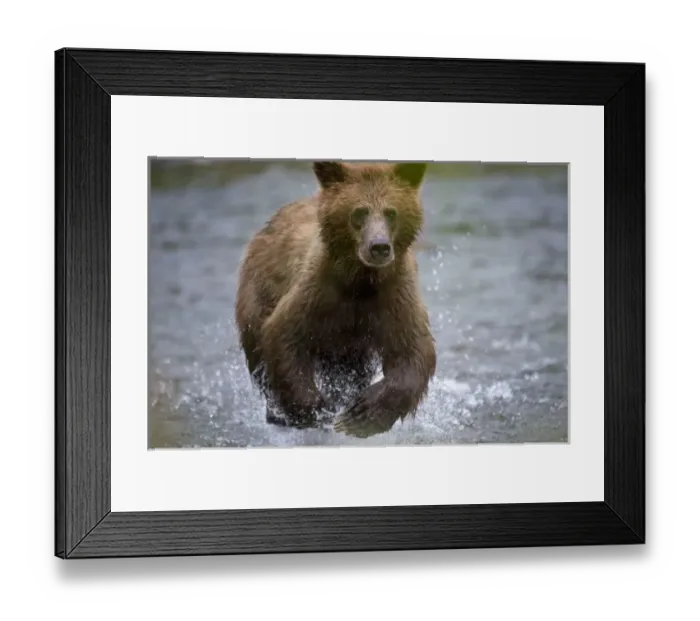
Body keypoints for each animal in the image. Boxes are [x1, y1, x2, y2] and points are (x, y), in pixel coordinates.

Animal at [234, 160, 437, 438]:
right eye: (360, 211)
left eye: (391, 212)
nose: (379, 246)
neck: (360, 281)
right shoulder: (317, 292)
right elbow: (284, 335)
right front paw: (319, 410)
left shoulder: (394, 295)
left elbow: (412, 351)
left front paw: (361, 415)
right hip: (259, 290)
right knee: (259, 354)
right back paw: (278, 414)